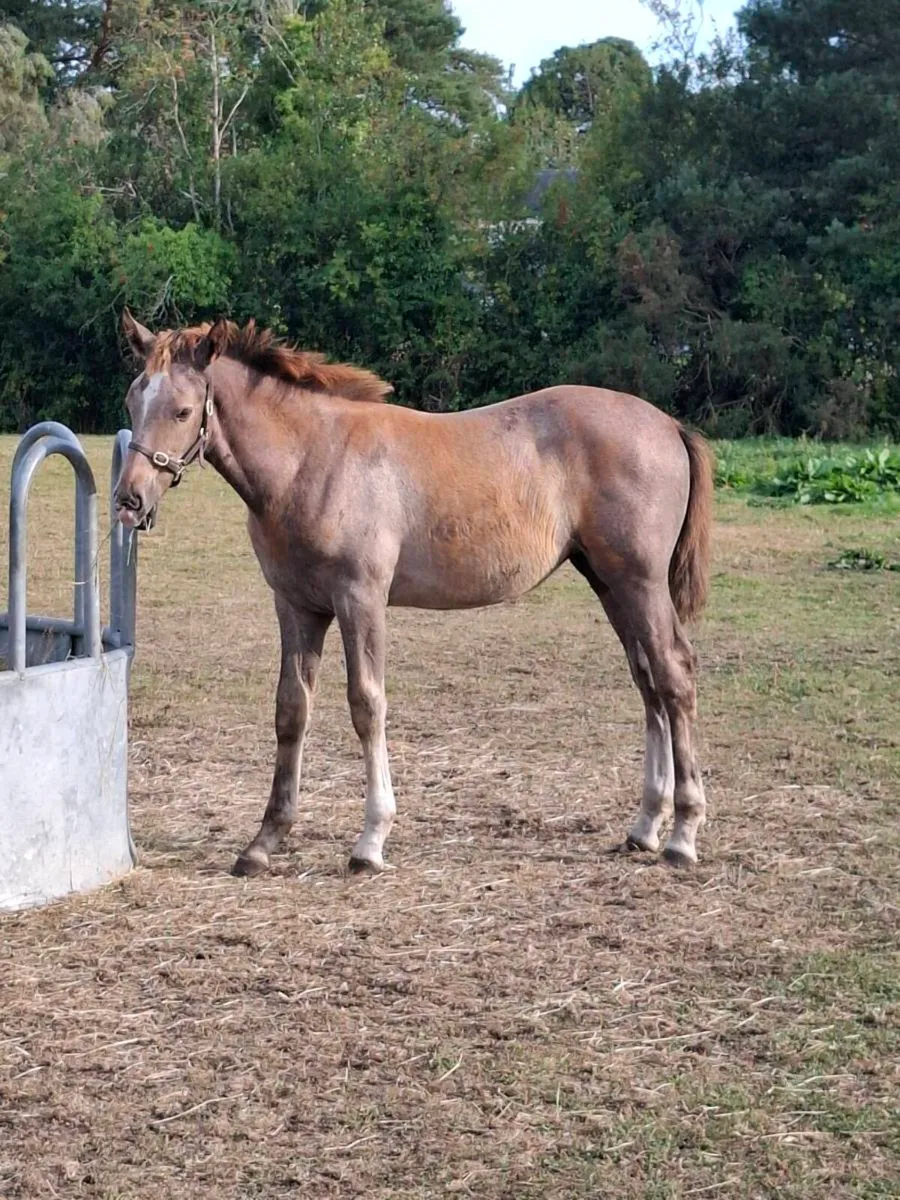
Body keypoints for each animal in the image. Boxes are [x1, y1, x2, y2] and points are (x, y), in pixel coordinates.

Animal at [115, 310, 714, 877]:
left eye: (182, 412)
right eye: (131, 400)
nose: (129, 500)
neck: (312, 459)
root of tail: (668, 424)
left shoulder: (360, 599)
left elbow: (367, 704)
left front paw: (370, 841)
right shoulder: (297, 606)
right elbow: (291, 709)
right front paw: (264, 842)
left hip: (640, 582)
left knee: (675, 674)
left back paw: (682, 836)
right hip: (609, 582)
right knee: (648, 682)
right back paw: (645, 826)